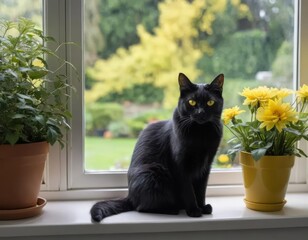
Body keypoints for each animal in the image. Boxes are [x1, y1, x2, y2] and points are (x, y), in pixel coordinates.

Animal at [91, 72, 224, 222]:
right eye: (192, 102)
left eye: (210, 102)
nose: (201, 113)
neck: (201, 134)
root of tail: (130, 196)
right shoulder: (180, 166)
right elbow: (189, 190)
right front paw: (194, 210)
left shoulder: (206, 166)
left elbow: (201, 190)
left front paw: (202, 207)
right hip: (153, 172)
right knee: (141, 207)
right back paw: (172, 209)